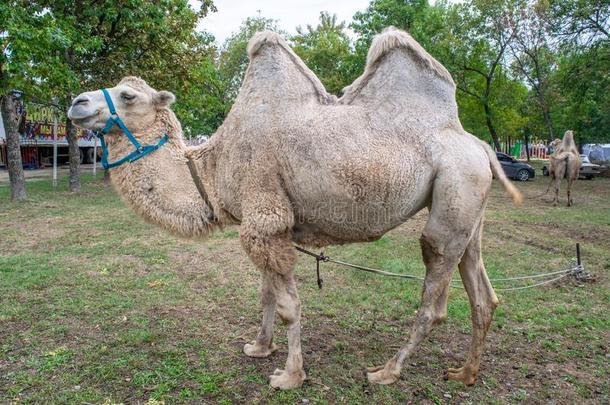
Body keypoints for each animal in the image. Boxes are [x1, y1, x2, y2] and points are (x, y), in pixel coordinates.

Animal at [69, 27, 520, 388]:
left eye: (128, 95)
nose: (77, 102)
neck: (211, 170)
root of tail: (478, 144)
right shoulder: (267, 227)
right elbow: (266, 293)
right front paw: (259, 347)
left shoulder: (265, 218)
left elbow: (288, 305)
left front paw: (289, 375)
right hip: (469, 206)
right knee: (482, 293)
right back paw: (465, 373)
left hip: (455, 190)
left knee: (434, 291)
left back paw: (386, 372)